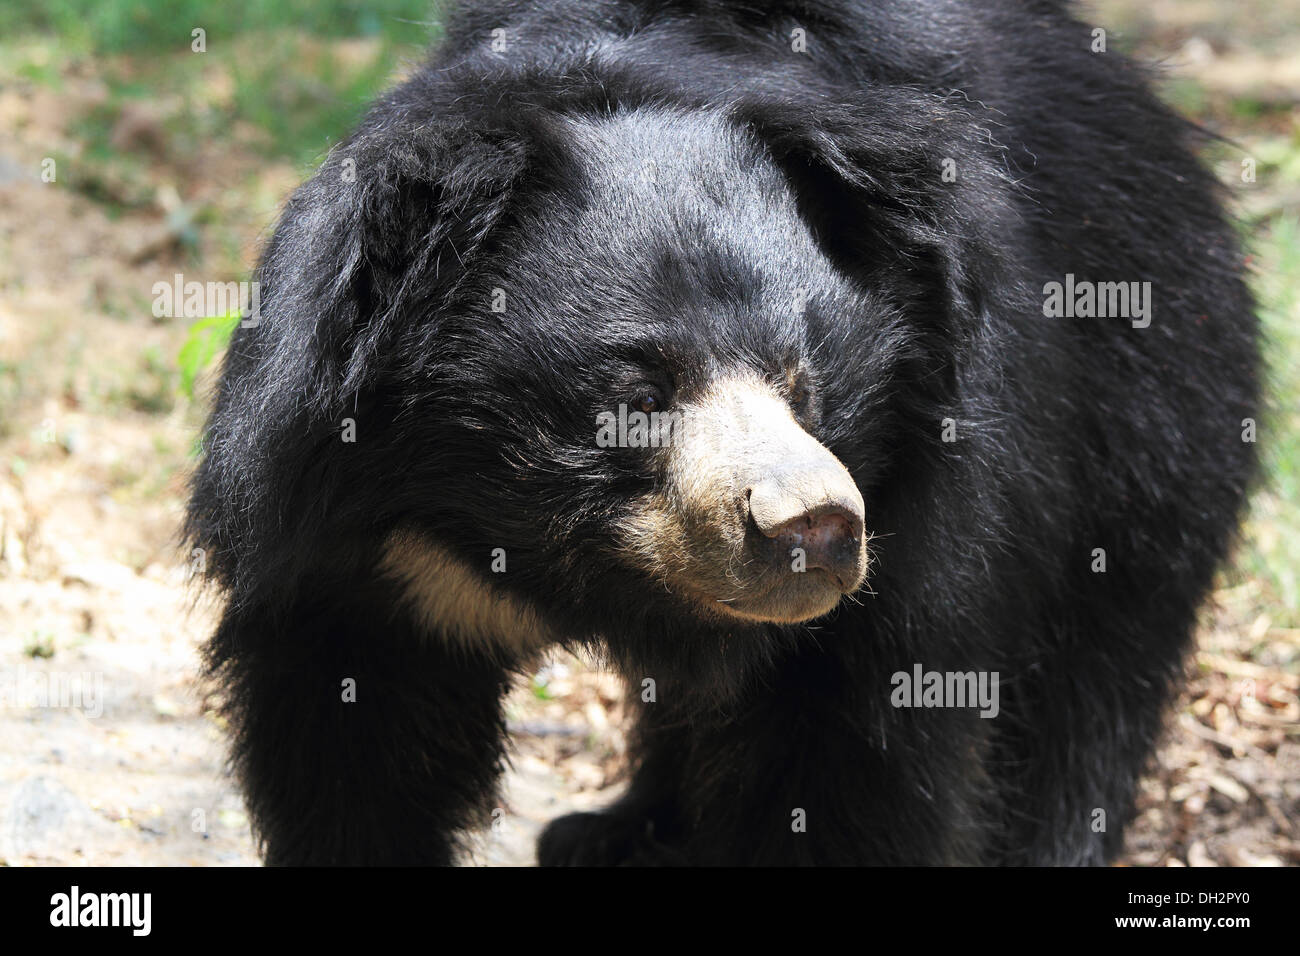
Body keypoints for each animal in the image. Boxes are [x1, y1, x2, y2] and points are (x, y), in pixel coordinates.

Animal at [185, 0, 1258, 868]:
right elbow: (354, 739)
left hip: (1147, 409)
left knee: (1090, 683)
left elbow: (849, 762)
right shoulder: (353, 530)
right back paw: (615, 832)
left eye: (803, 377)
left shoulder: (923, 508)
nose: (815, 528)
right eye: (638, 392)